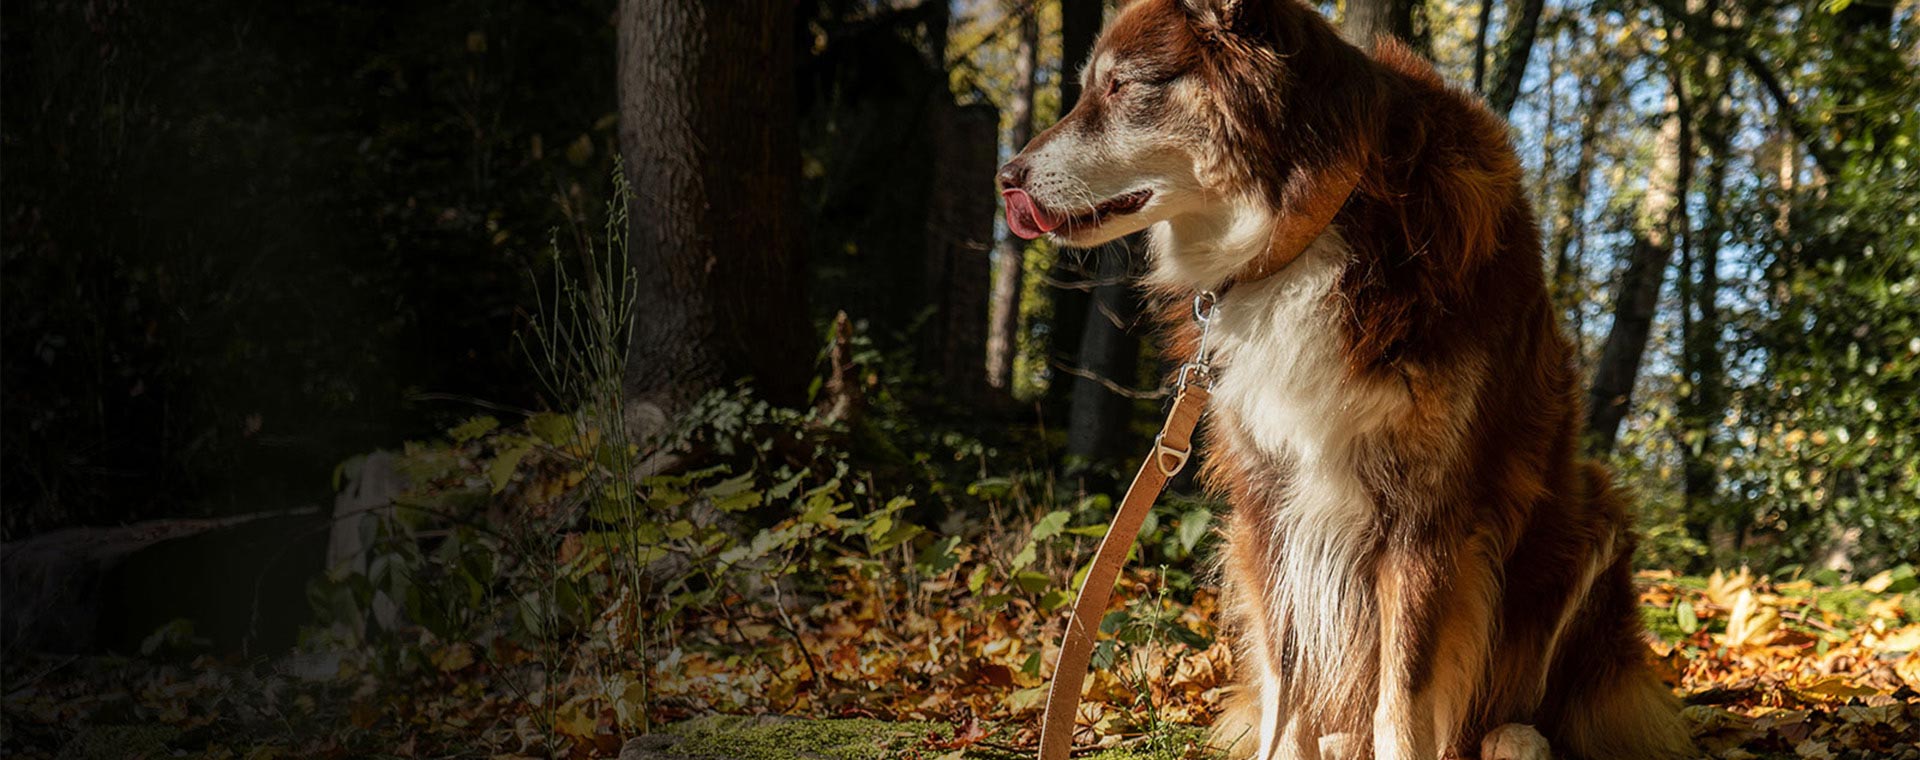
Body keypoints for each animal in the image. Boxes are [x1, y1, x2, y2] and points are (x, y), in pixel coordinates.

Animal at [998, 1, 1704, 760]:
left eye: (1122, 86)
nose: (1006, 176)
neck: (1311, 227)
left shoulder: (1427, 511)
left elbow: (1405, 695)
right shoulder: (1267, 498)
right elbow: (1287, 676)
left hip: (1593, 519)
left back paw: (1516, 739)